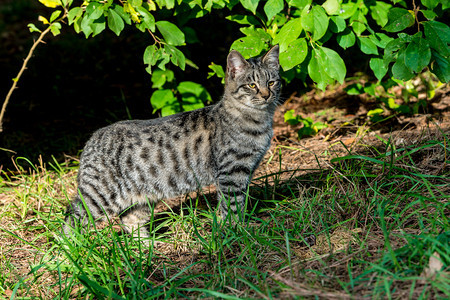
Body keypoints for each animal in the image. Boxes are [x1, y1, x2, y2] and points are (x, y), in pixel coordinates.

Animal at [63, 45, 282, 241]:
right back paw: (72, 249)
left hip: (143, 197)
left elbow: (239, 203)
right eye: (252, 85)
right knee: (71, 217)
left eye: (271, 82)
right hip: (100, 195)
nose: (266, 95)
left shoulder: (246, 170)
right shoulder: (232, 173)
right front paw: (237, 230)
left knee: (129, 220)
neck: (259, 120)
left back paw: (148, 246)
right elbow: (233, 206)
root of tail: (92, 138)